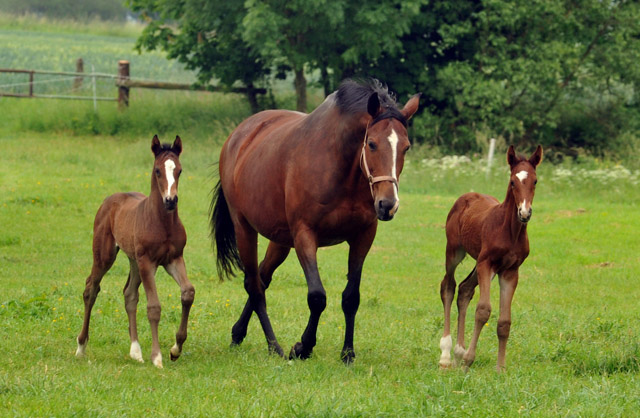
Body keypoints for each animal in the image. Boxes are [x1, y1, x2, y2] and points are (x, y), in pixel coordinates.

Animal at [76, 136, 194, 368]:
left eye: (179, 170)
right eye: (157, 170)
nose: (171, 200)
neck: (162, 222)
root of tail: (109, 200)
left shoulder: (174, 259)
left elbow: (187, 293)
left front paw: (175, 349)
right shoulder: (148, 261)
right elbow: (154, 307)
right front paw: (157, 357)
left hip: (134, 260)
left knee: (129, 294)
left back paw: (135, 351)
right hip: (105, 256)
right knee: (91, 289)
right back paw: (81, 347)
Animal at [210, 79, 420, 362]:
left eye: (406, 147)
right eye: (372, 144)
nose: (388, 205)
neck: (339, 167)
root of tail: (239, 136)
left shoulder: (363, 237)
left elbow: (351, 297)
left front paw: (348, 353)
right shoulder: (305, 235)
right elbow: (317, 296)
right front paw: (303, 347)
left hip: (280, 241)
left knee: (262, 278)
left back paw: (238, 333)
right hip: (245, 229)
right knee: (254, 285)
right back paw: (274, 346)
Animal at [438, 145, 544, 370]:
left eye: (535, 181)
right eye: (513, 181)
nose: (525, 213)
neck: (509, 231)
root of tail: (466, 196)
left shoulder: (510, 271)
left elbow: (504, 321)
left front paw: (500, 368)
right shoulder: (486, 264)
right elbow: (483, 310)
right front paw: (468, 360)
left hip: (480, 263)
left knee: (465, 289)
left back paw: (459, 351)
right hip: (454, 252)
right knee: (448, 287)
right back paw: (446, 354)